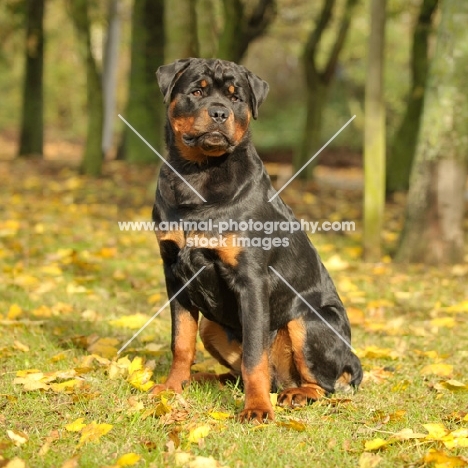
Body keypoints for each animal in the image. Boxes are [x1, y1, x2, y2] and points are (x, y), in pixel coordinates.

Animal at [151, 58, 362, 424]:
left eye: (236, 98)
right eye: (196, 92)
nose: (219, 112)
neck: (198, 173)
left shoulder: (250, 278)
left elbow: (254, 356)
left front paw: (257, 408)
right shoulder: (174, 273)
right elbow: (181, 342)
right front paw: (172, 388)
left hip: (307, 320)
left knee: (323, 385)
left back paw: (297, 394)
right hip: (212, 327)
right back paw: (206, 379)